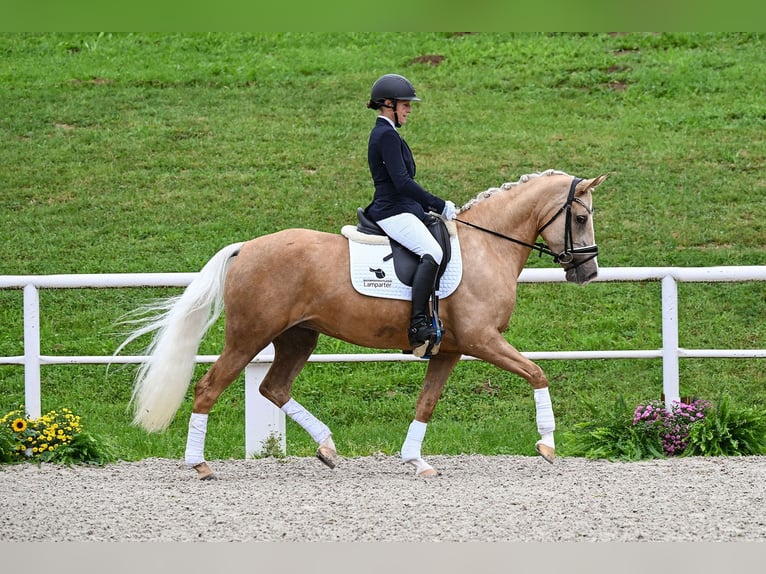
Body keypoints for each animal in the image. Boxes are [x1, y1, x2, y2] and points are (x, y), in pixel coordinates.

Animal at [117, 171, 608, 482]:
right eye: (581, 218)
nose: (588, 272)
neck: (487, 246)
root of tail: (246, 248)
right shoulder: (483, 340)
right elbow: (537, 373)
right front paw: (548, 444)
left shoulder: (450, 349)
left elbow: (426, 403)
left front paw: (416, 461)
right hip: (249, 336)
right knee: (209, 388)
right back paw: (199, 465)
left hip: (299, 336)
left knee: (273, 388)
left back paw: (327, 448)